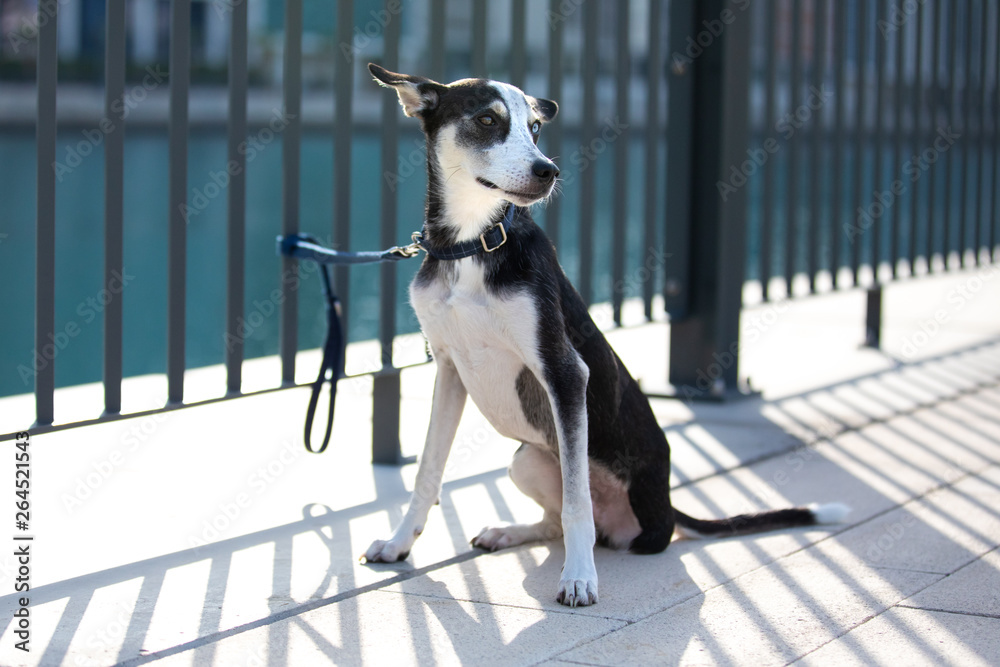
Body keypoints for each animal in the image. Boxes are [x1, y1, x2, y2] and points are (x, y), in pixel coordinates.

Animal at [360, 65, 844, 608]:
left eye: (535, 128)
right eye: (486, 120)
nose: (547, 171)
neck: (472, 244)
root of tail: (668, 506)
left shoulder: (565, 372)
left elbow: (578, 502)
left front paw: (578, 578)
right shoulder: (449, 370)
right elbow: (427, 472)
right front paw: (399, 544)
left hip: (623, 513)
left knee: (589, 521)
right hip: (526, 460)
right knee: (552, 522)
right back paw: (509, 532)